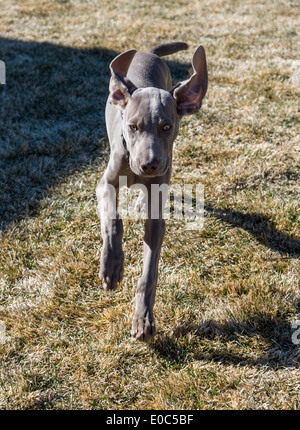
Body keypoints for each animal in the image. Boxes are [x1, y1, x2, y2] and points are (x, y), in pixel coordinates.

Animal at [97, 42, 207, 340]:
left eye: (166, 127)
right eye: (132, 127)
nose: (149, 164)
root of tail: (148, 51)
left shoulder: (157, 219)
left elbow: (149, 270)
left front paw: (143, 319)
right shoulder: (105, 184)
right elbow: (113, 220)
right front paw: (112, 265)